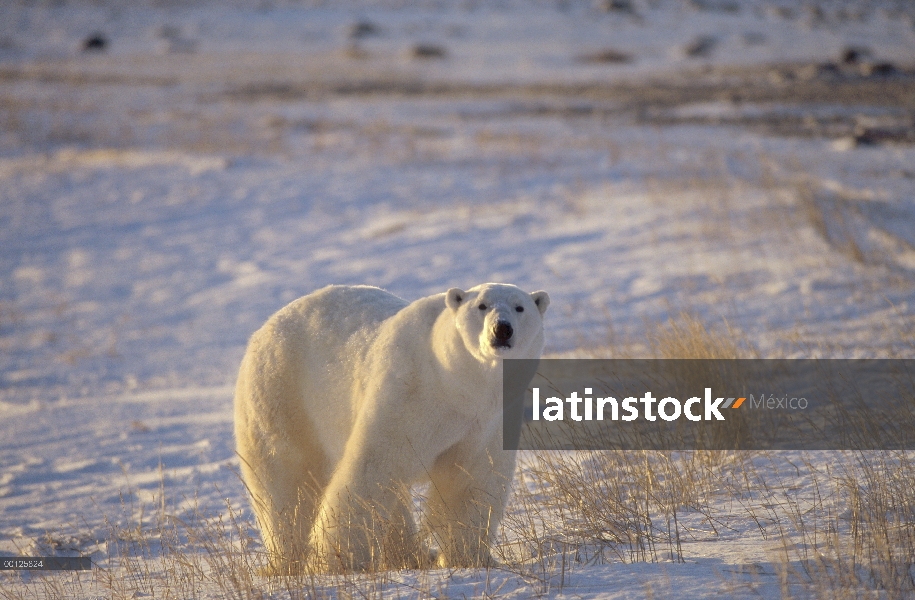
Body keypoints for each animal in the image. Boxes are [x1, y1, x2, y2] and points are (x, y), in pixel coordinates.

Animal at [236, 284, 552, 576]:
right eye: (482, 305)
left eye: (520, 307)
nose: (502, 329)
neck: (455, 385)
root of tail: (266, 327)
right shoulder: (408, 394)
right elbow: (372, 472)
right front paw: (338, 560)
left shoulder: (487, 420)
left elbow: (471, 481)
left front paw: (468, 556)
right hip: (284, 397)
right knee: (287, 483)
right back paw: (287, 560)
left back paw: (411, 555)